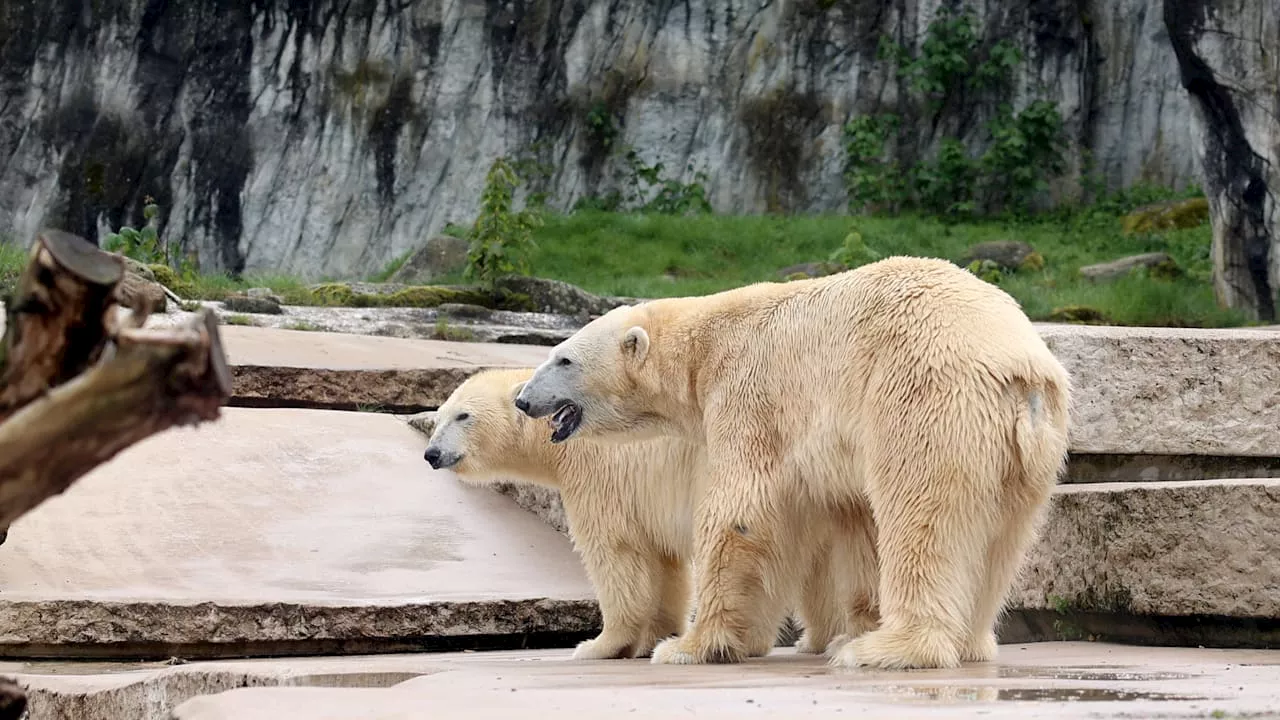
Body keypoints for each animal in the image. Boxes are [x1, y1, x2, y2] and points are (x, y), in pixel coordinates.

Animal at [419, 366, 880, 661]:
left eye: (464, 415)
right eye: (439, 417)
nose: (432, 454)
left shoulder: (600, 473)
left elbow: (617, 554)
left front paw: (600, 646)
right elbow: (666, 565)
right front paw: (652, 637)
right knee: (818, 563)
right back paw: (813, 639)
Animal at [512, 253, 1070, 666]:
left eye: (563, 358)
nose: (522, 399)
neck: (703, 345)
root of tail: (1019, 369)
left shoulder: (746, 394)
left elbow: (739, 511)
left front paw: (688, 646)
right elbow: (852, 520)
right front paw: (835, 629)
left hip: (924, 397)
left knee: (923, 517)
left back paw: (888, 649)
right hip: (1030, 452)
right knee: (1003, 539)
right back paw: (969, 644)